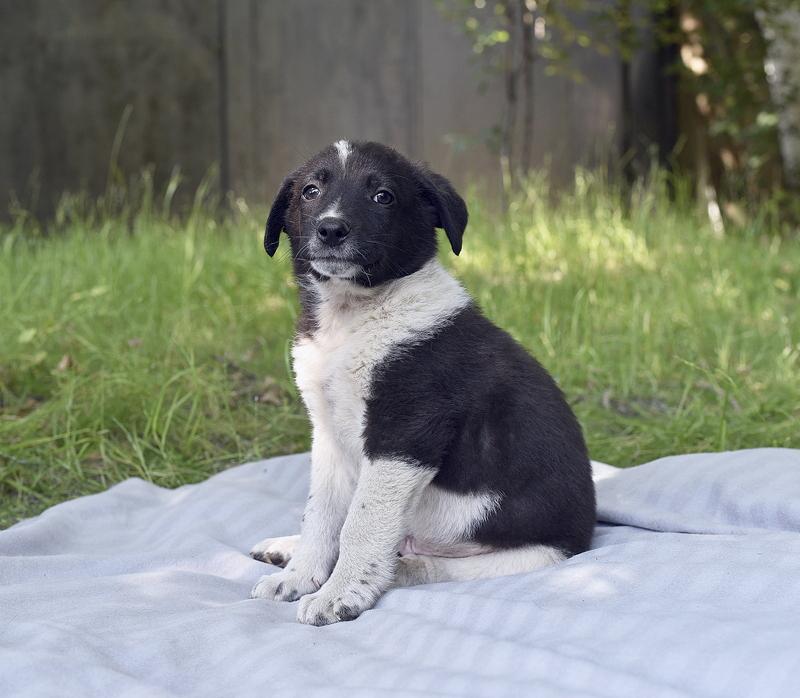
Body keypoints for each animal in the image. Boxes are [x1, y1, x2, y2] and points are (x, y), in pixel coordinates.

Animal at [250, 141, 592, 624]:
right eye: (310, 191)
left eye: (383, 196)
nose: (331, 228)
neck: (354, 316)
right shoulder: (328, 434)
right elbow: (321, 513)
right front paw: (299, 576)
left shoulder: (404, 435)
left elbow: (361, 522)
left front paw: (339, 593)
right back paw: (287, 550)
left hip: (528, 555)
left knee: (427, 564)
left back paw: (397, 568)